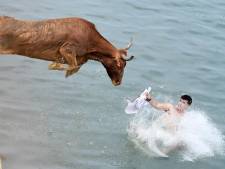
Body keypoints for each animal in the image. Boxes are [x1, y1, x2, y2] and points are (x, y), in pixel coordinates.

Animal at [0, 16, 134, 86]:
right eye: (120, 65)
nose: (118, 82)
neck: (92, 50)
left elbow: (75, 67)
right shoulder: (66, 49)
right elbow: (73, 67)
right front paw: (55, 66)